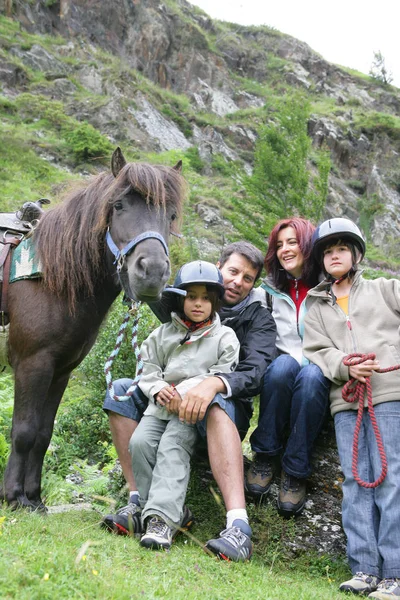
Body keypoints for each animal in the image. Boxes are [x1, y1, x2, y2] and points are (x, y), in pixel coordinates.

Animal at [1, 148, 186, 508]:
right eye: (119, 205)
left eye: (170, 215)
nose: (152, 271)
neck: (50, 279)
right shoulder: (32, 365)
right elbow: (24, 431)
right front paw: (14, 496)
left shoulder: (60, 371)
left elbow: (43, 434)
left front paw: (34, 498)